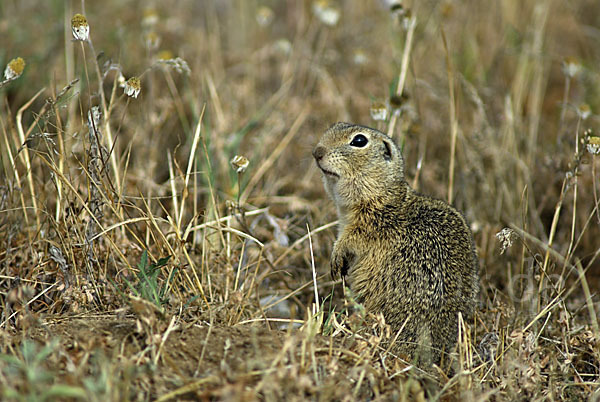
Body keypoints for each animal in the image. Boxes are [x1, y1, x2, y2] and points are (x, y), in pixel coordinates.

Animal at [314, 121, 478, 368]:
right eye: (335, 125)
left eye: (359, 141)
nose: (317, 152)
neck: (383, 196)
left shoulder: (367, 227)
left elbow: (349, 241)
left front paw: (336, 257)